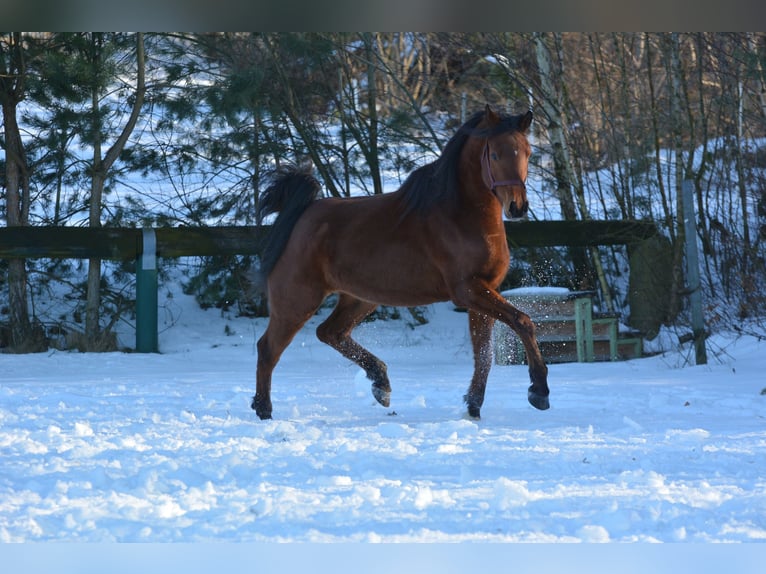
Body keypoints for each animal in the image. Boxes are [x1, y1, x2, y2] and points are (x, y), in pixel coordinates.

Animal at [251, 105, 549, 420]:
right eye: (494, 155)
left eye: (528, 152)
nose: (517, 206)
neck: (460, 215)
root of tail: (302, 214)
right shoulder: (468, 290)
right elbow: (523, 321)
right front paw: (538, 391)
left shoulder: (484, 292)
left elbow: (484, 354)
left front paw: (473, 405)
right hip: (297, 301)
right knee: (268, 349)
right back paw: (264, 410)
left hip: (360, 298)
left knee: (330, 332)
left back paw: (380, 383)